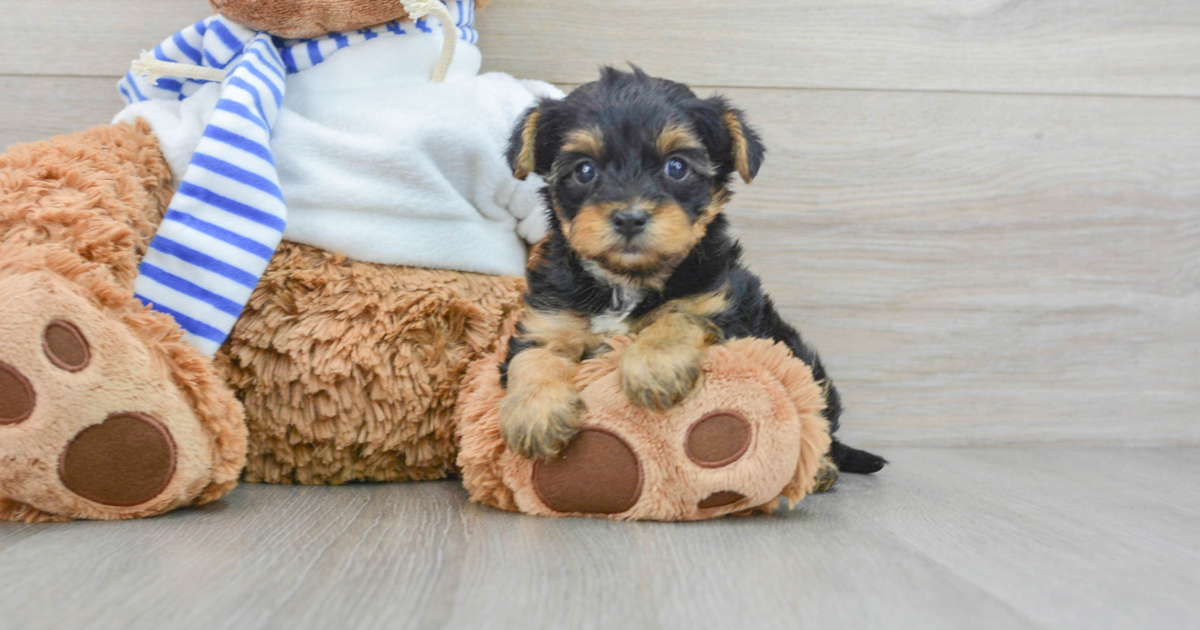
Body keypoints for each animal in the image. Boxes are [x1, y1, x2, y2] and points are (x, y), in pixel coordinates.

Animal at [499, 67, 892, 482]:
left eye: (677, 167)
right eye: (584, 170)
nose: (629, 217)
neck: (627, 281)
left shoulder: (725, 308)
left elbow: (679, 315)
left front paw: (653, 366)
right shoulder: (548, 319)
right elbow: (533, 357)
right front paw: (533, 415)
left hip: (802, 359)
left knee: (821, 421)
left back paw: (821, 469)